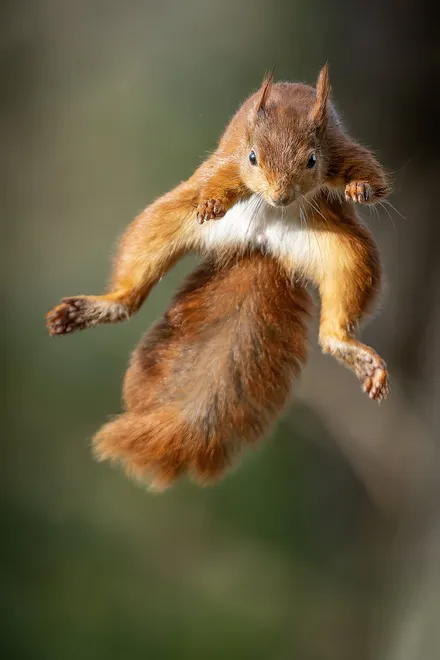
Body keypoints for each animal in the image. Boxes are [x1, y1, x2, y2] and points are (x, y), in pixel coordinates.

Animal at [46, 64, 390, 489]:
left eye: (312, 160)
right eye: (253, 157)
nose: (280, 197)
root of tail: (262, 243)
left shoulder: (339, 147)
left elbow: (369, 172)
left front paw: (360, 188)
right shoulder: (229, 159)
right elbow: (220, 179)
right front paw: (212, 202)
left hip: (345, 254)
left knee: (337, 317)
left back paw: (350, 349)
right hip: (162, 222)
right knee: (133, 283)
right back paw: (97, 308)